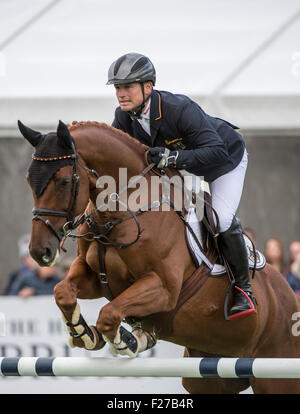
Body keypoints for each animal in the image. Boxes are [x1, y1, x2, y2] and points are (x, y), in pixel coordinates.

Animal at [18, 119, 300, 394]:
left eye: (63, 182)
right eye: (29, 179)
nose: (39, 251)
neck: (118, 214)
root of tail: (289, 296)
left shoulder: (163, 288)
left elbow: (109, 314)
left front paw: (129, 341)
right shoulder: (96, 279)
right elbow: (63, 292)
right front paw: (85, 334)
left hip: (277, 376)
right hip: (208, 379)